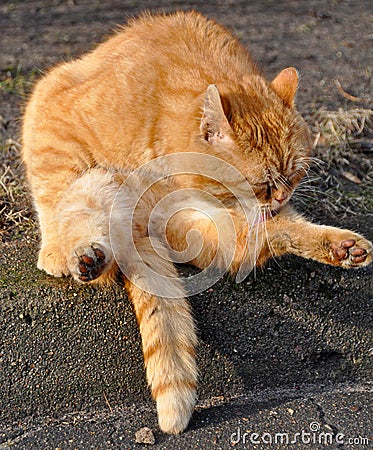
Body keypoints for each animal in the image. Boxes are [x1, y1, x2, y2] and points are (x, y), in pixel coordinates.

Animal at [21, 11, 370, 432]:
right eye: (261, 184)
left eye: (294, 175)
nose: (282, 199)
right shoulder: (54, 110)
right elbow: (56, 193)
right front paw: (58, 248)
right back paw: (86, 256)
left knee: (250, 244)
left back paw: (342, 247)